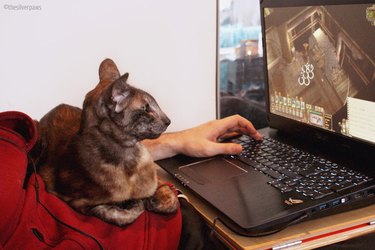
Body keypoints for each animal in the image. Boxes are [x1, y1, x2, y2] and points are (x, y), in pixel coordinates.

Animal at [35, 58, 181, 227]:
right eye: (146, 108)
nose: (168, 120)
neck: (132, 162)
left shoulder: (158, 181)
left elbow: (172, 198)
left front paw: (153, 200)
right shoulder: (80, 203)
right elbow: (125, 214)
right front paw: (138, 203)